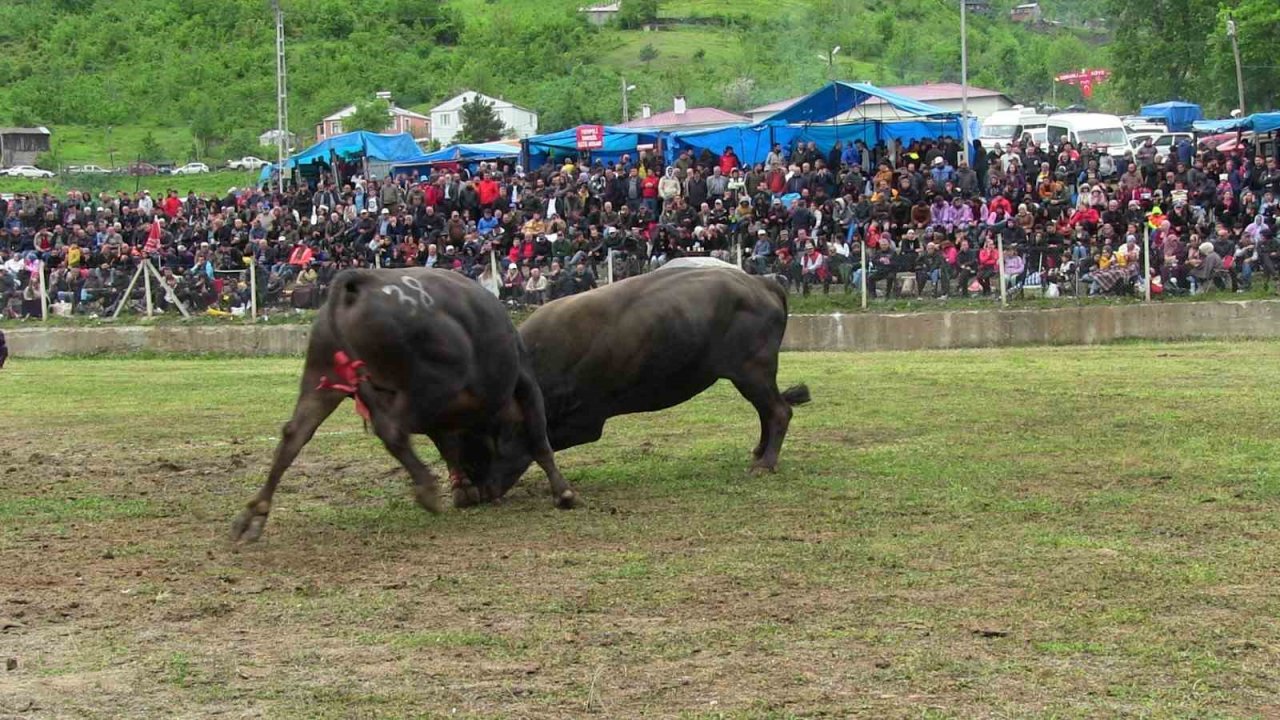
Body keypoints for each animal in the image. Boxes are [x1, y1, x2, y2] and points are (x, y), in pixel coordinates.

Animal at [232, 267, 578, 538]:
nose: (486, 491)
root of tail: (361, 282)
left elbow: (449, 448)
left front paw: (462, 487)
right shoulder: (525, 383)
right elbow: (539, 439)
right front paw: (563, 493)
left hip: (322, 376)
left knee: (294, 435)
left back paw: (254, 514)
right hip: (434, 383)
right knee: (391, 431)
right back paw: (426, 489)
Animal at [455, 258, 803, 504]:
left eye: (483, 444)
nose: (479, 492)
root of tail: (761, 282)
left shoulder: (586, 421)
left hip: (752, 372)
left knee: (779, 411)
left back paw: (765, 464)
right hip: (751, 376)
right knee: (767, 411)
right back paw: (758, 453)